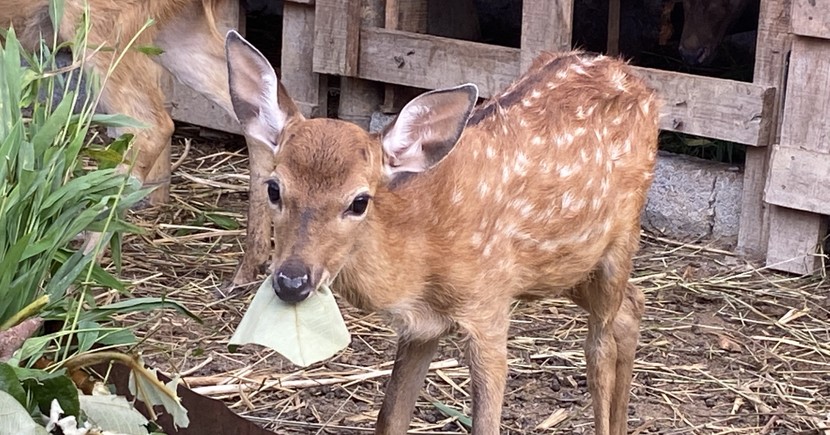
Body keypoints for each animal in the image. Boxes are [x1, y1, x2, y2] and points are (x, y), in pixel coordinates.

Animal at [223, 29, 664, 434]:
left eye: (359, 201)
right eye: (274, 188)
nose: (291, 281)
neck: (421, 252)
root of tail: (638, 80)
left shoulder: (488, 305)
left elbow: (486, 422)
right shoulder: (421, 326)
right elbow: (391, 416)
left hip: (619, 240)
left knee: (600, 345)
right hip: (565, 265)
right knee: (633, 304)